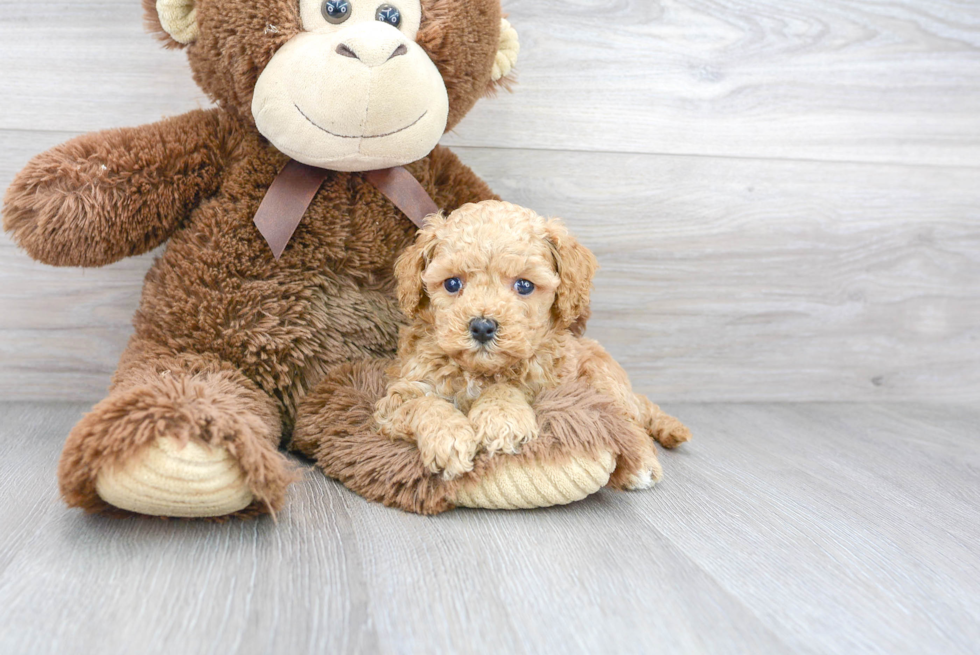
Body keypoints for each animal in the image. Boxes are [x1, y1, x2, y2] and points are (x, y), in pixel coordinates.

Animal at [376, 200, 688, 482]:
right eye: (452, 284)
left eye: (524, 285)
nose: (482, 327)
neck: (479, 372)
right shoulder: (398, 394)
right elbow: (423, 404)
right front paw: (449, 438)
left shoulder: (544, 384)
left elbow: (506, 387)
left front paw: (501, 419)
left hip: (603, 377)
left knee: (628, 421)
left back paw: (641, 466)